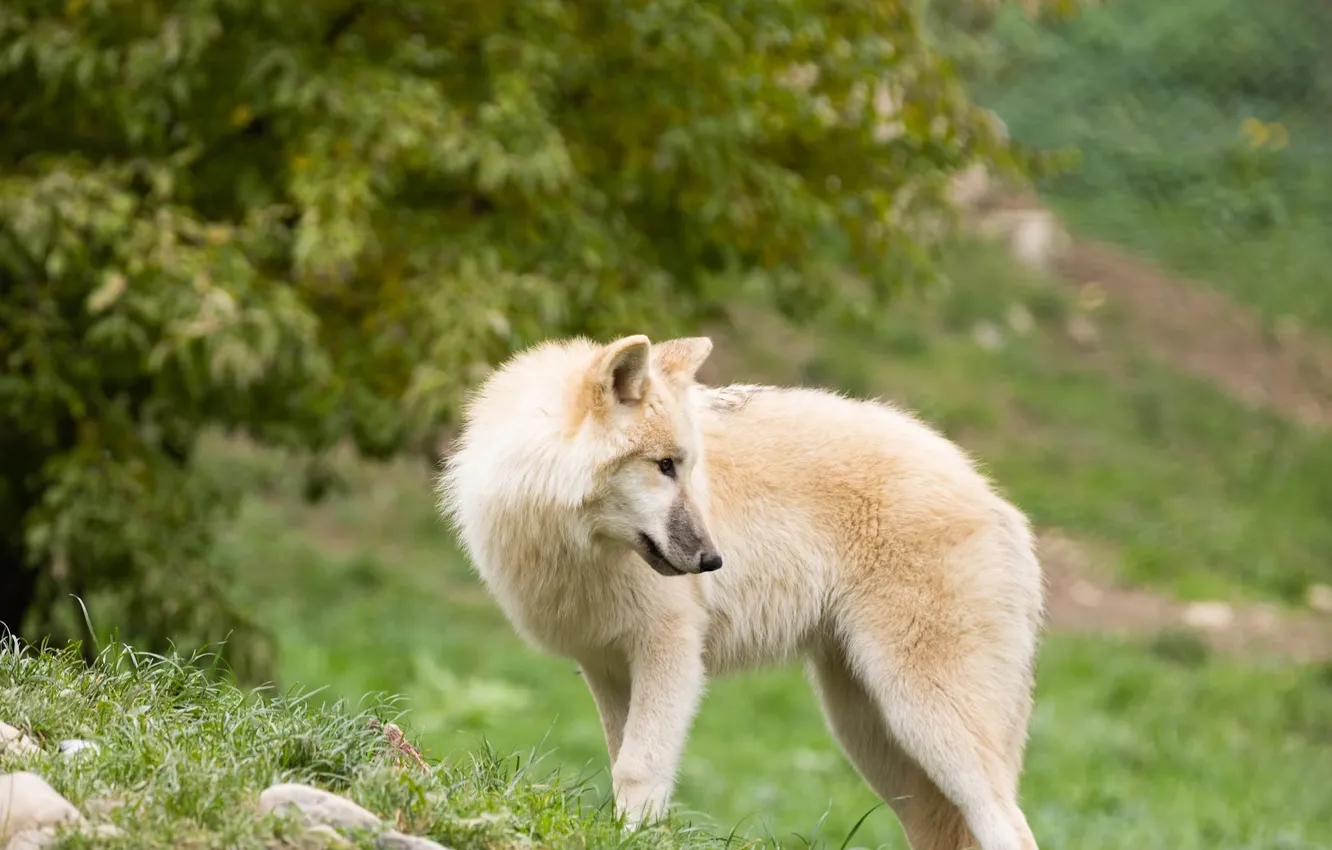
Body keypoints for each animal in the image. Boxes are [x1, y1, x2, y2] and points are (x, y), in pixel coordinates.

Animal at [438, 334, 1045, 850]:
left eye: (687, 468)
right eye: (663, 466)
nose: (713, 561)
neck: (571, 544)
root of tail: (1000, 503)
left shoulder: (671, 656)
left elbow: (639, 768)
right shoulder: (605, 666)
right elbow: (618, 762)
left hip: (926, 718)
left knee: (1011, 826)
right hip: (873, 736)